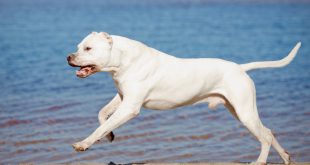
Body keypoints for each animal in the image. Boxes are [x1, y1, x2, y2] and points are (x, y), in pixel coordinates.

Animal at [66, 31, 300, 164]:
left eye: (88, 48)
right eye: (78, 47)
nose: (69, 57)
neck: (124, 60)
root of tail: (240, 68)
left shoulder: (130, 107)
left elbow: (101, 126)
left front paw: (84, 144)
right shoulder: (122, 98)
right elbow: (102, 115)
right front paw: (110, 136)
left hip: (244, 112)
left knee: (265, 137)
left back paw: (259, 161)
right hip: (239, 110)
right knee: (268, 131)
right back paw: (286, 158)